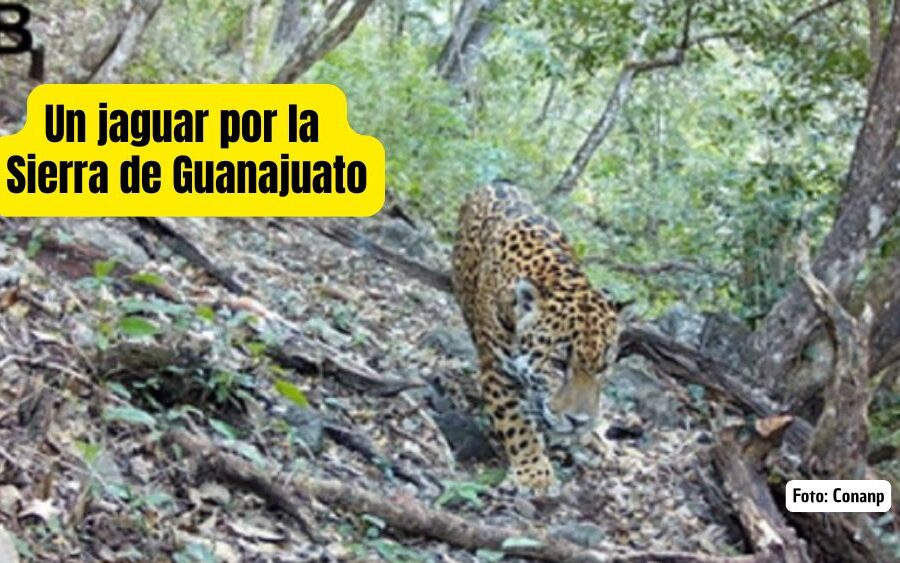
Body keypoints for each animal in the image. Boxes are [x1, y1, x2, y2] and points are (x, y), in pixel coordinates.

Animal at [451, 180, 620, 493]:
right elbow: (516, 424)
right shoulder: (497, 371)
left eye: (603, 368)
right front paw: (534, 474)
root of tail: (497, 182)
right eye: (558, 363)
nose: (579, 422)